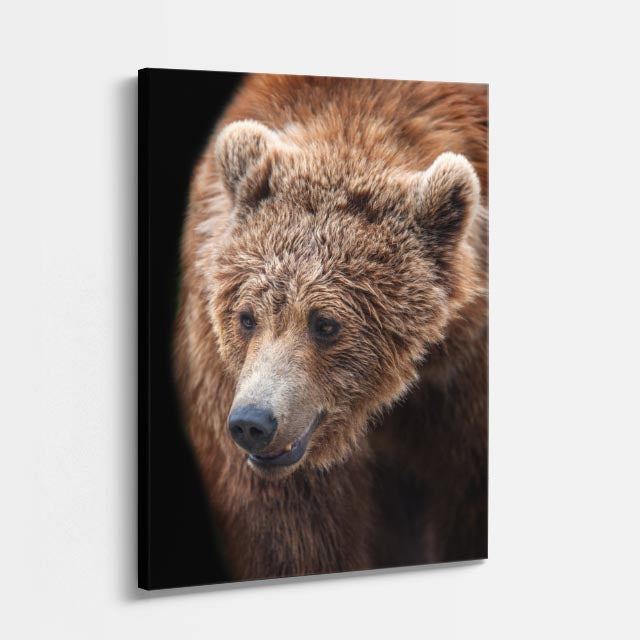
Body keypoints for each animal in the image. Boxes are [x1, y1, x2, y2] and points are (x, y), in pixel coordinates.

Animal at [174, 74, 488, 581]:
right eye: (246, 317)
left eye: (325, 323)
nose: (253, 423)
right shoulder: (224, 378)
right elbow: (293, 532)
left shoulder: (466, 382)